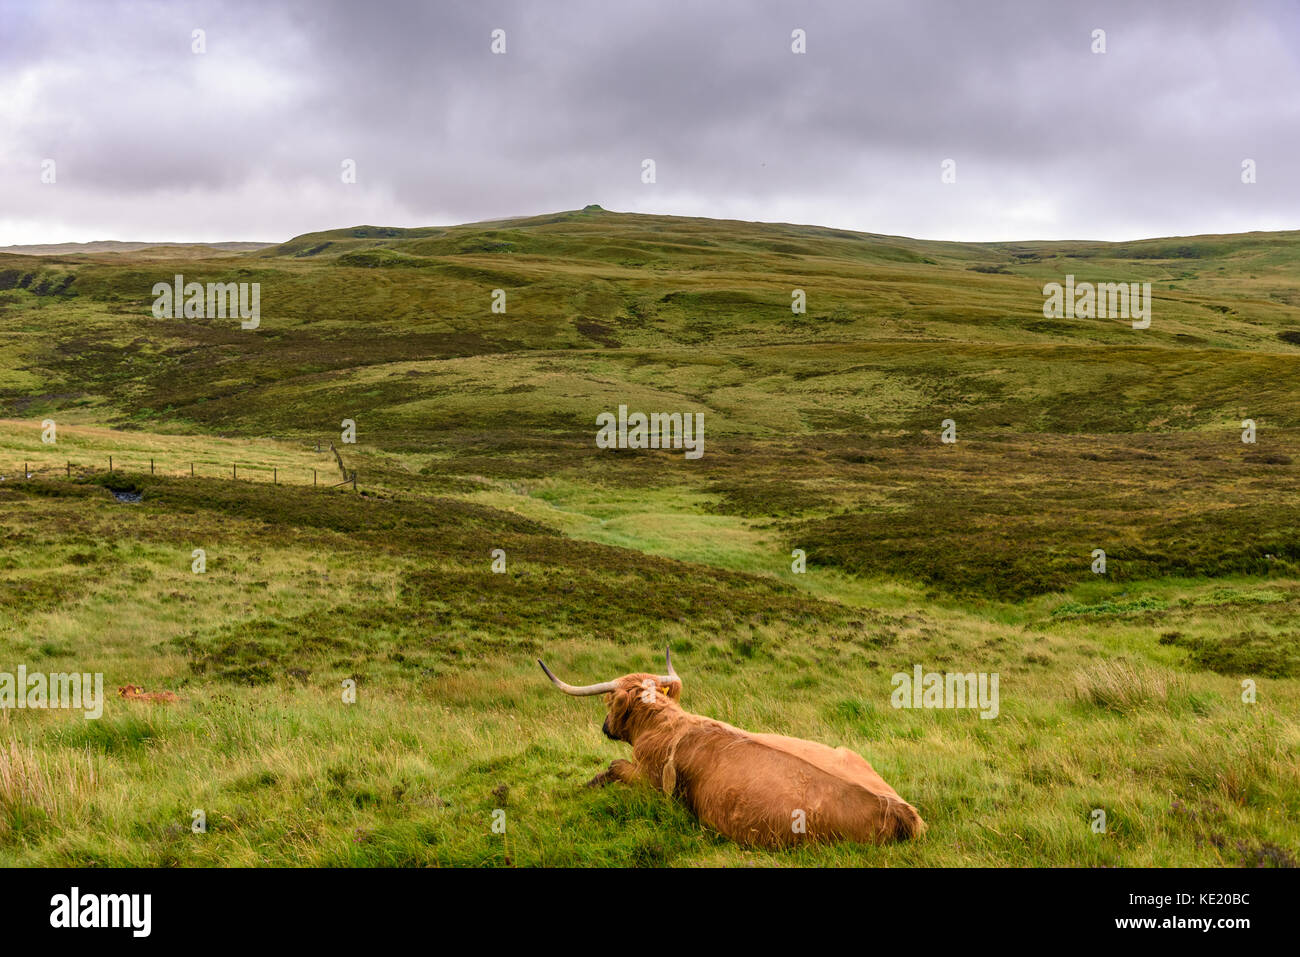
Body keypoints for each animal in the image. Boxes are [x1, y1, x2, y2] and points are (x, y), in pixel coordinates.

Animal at [538, 649, 925, 848]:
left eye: (608, 703)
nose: (605, 726)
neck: (665, 725)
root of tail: (899, 809)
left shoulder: (651, 784)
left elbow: (614, 766)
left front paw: (583, 786)